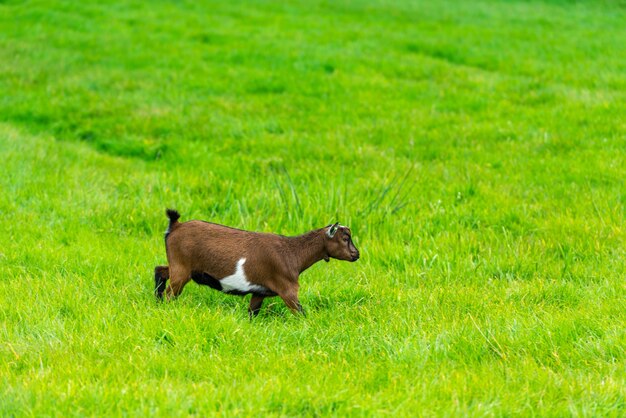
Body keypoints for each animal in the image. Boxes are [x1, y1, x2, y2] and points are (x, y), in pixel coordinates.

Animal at [152, 209, 358, 316]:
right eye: (345, 238)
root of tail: (175, 226)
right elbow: (300, 312)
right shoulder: (287, 289)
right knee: (171, 292)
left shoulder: (259, 292)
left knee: (160, 270)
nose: (356, 254)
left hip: (180, 266)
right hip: (182, 268)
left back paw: (156, 300)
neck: (293, 253)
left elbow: (252, 312)